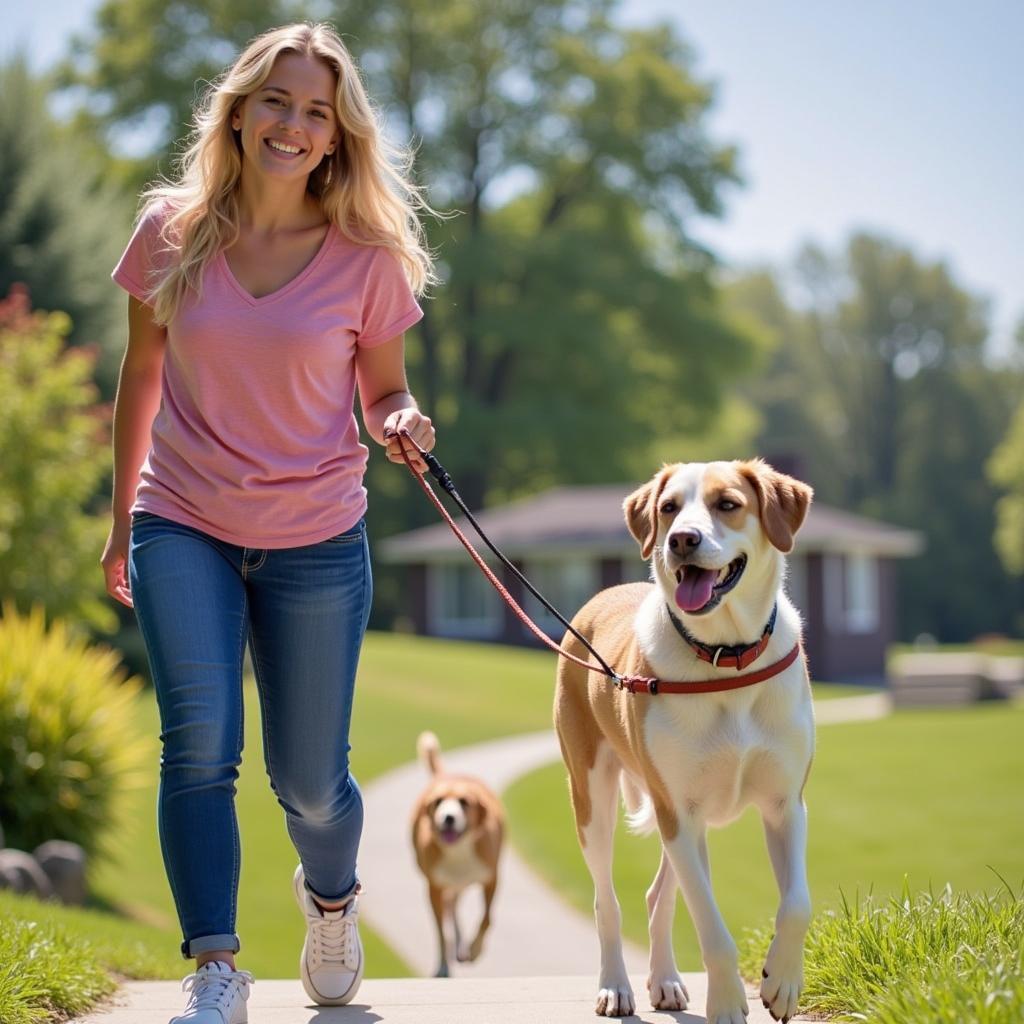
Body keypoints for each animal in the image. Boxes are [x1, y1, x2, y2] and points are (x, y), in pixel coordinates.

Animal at [407, 729, 503, 974]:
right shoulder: (434, 887)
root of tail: (447, 775)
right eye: (438, 802)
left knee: (455, 903)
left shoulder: (491, 878)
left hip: (466, 881)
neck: (459, 851)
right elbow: (441, 931)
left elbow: (487, 918)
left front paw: (475, 949)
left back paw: (463, 946)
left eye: (464, 802)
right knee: (451, 905)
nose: (448, 818)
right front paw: (443, 967)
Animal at [557, 462, 811, 1024]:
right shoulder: (678, 811)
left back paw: (666, 981)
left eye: (728, 504)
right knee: (608, 901)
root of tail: (601, 596)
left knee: (660, 896)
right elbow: (712, 929)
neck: (726, 657)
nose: (681, 540)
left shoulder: (786, 803)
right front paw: (728, 1003)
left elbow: (798, 905)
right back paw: (616, 986)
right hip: (596, 799)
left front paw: (782, 981)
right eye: (669, 507)